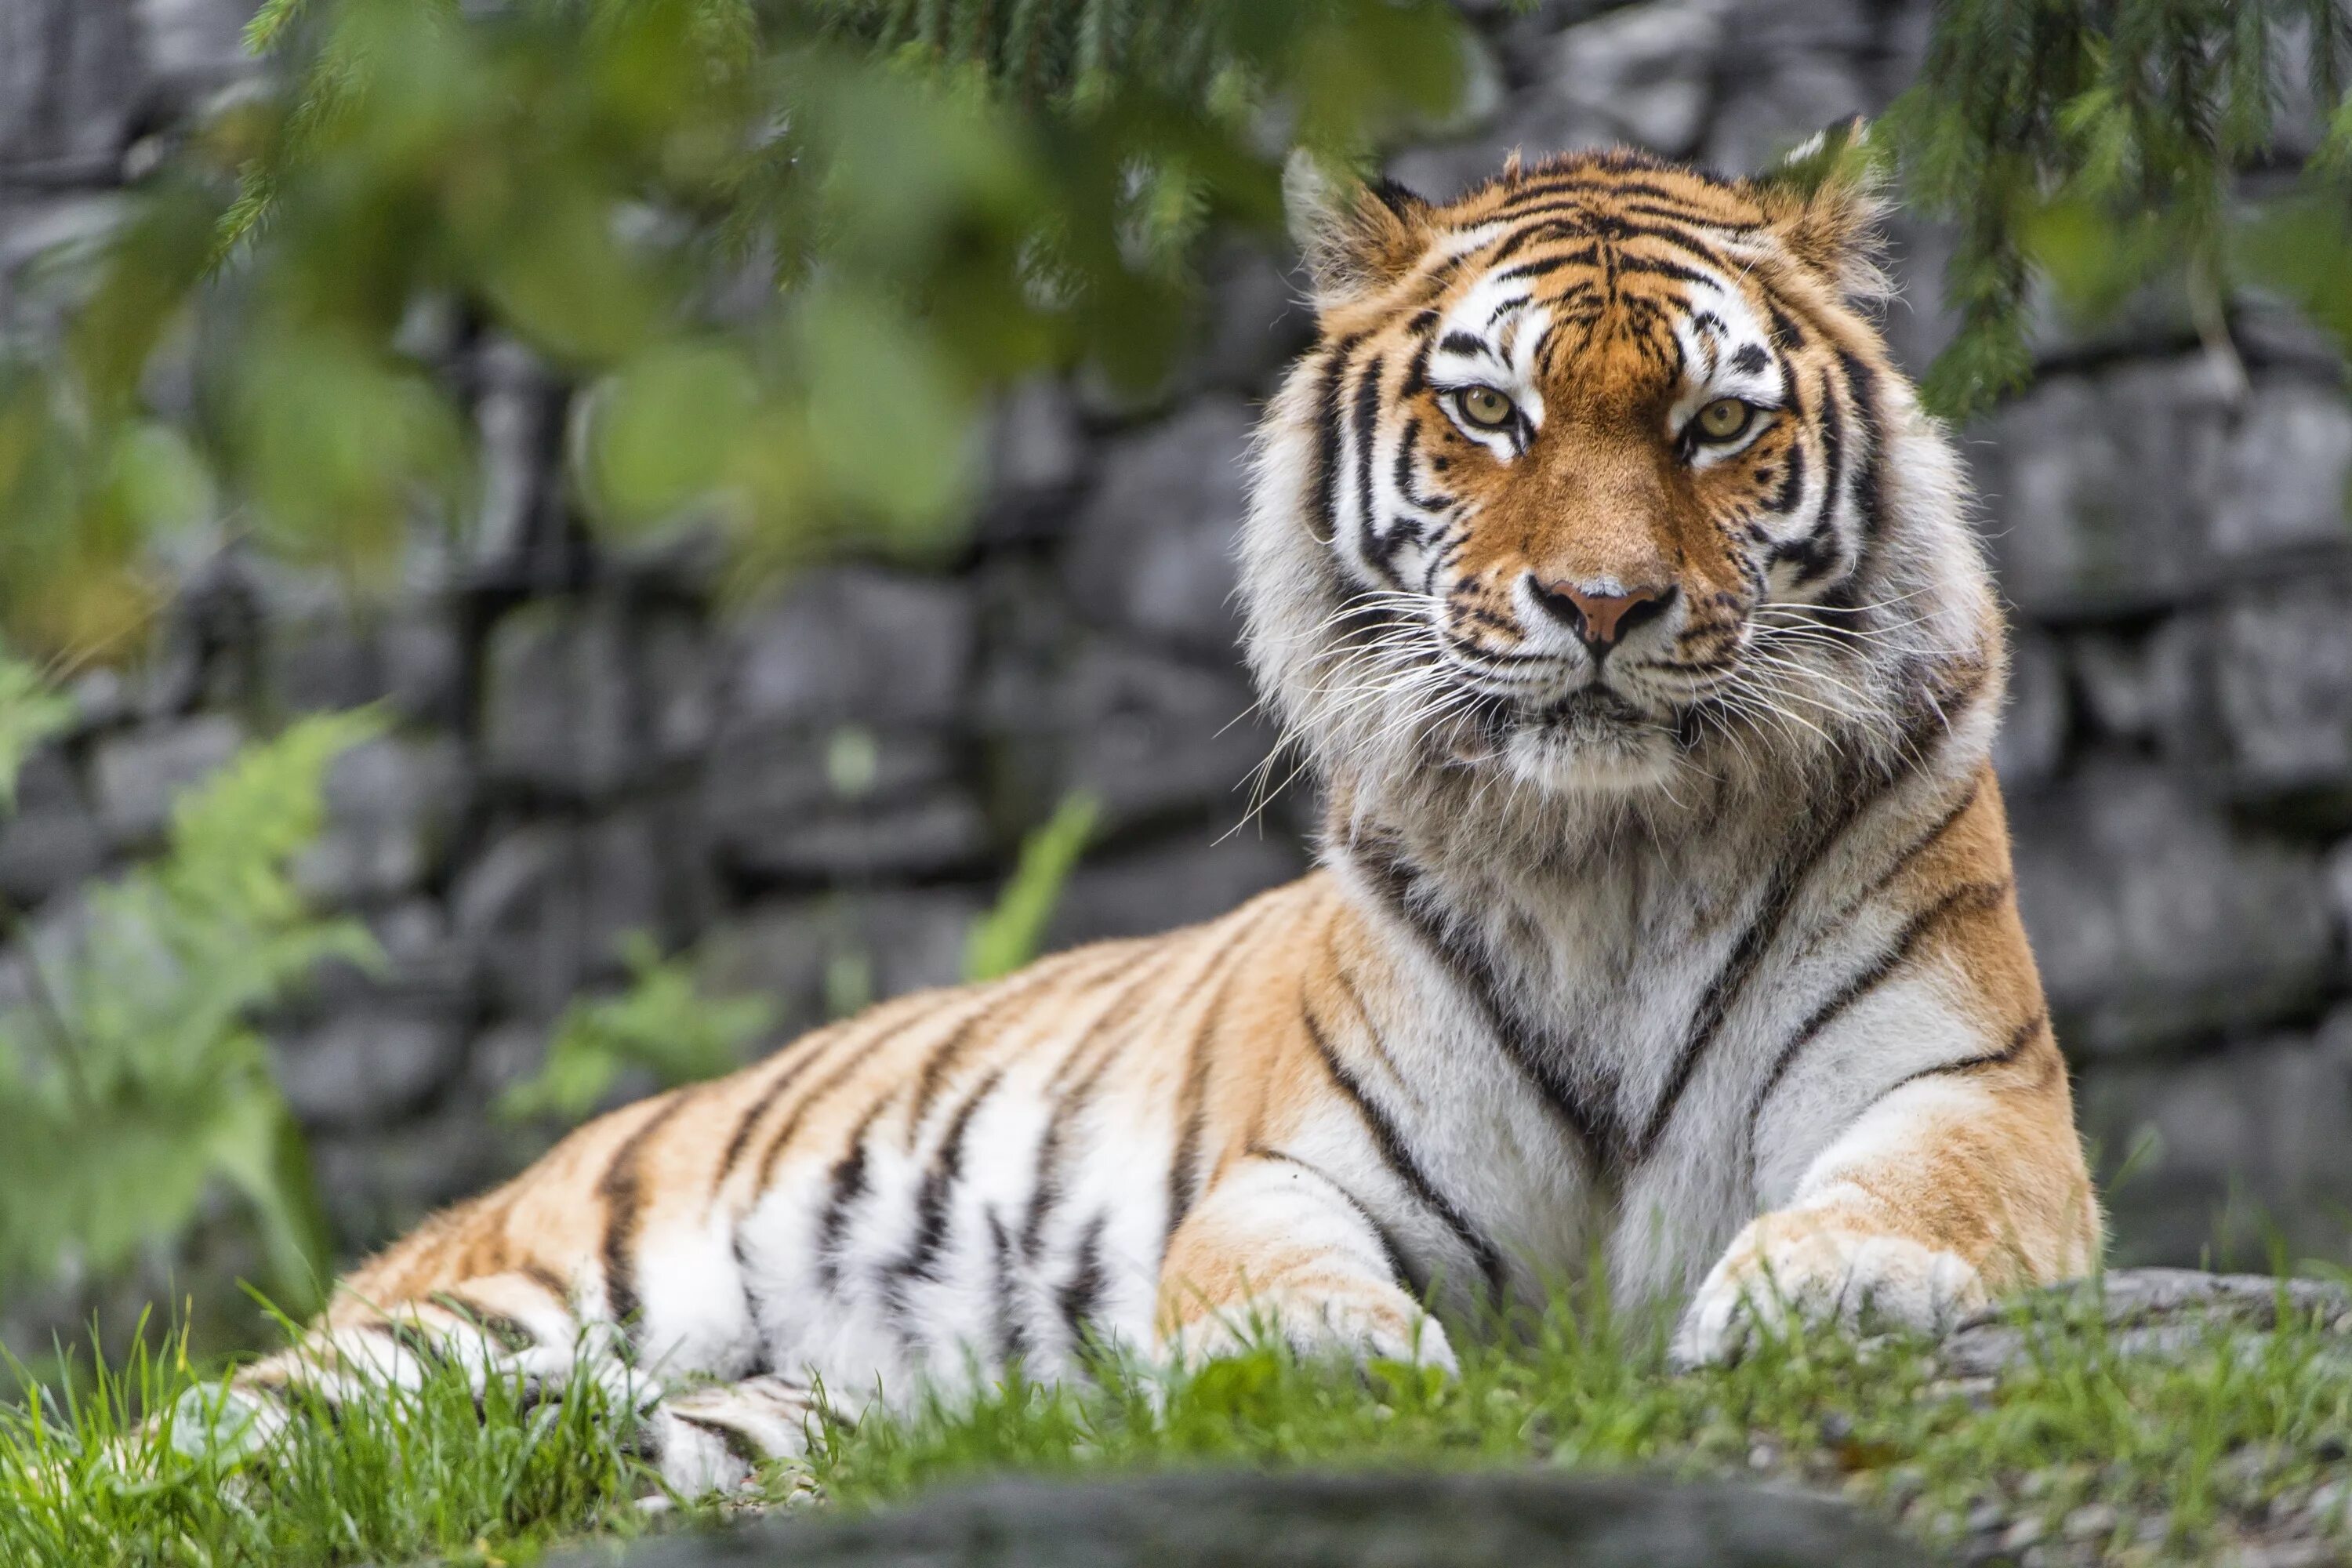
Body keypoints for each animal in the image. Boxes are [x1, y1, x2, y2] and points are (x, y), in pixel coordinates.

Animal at [188, 131, 2098, 1486]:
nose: (1606, 605)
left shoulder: (1973, 1091)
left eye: (1712, 424)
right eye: (1492, 409)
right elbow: (1262, 1273)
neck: (1609, 859)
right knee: (206, 1433)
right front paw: (1319, 1362)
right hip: (519, 1290)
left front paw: (1825, 1287)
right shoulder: (1295, 1165)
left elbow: (1914, 1193)